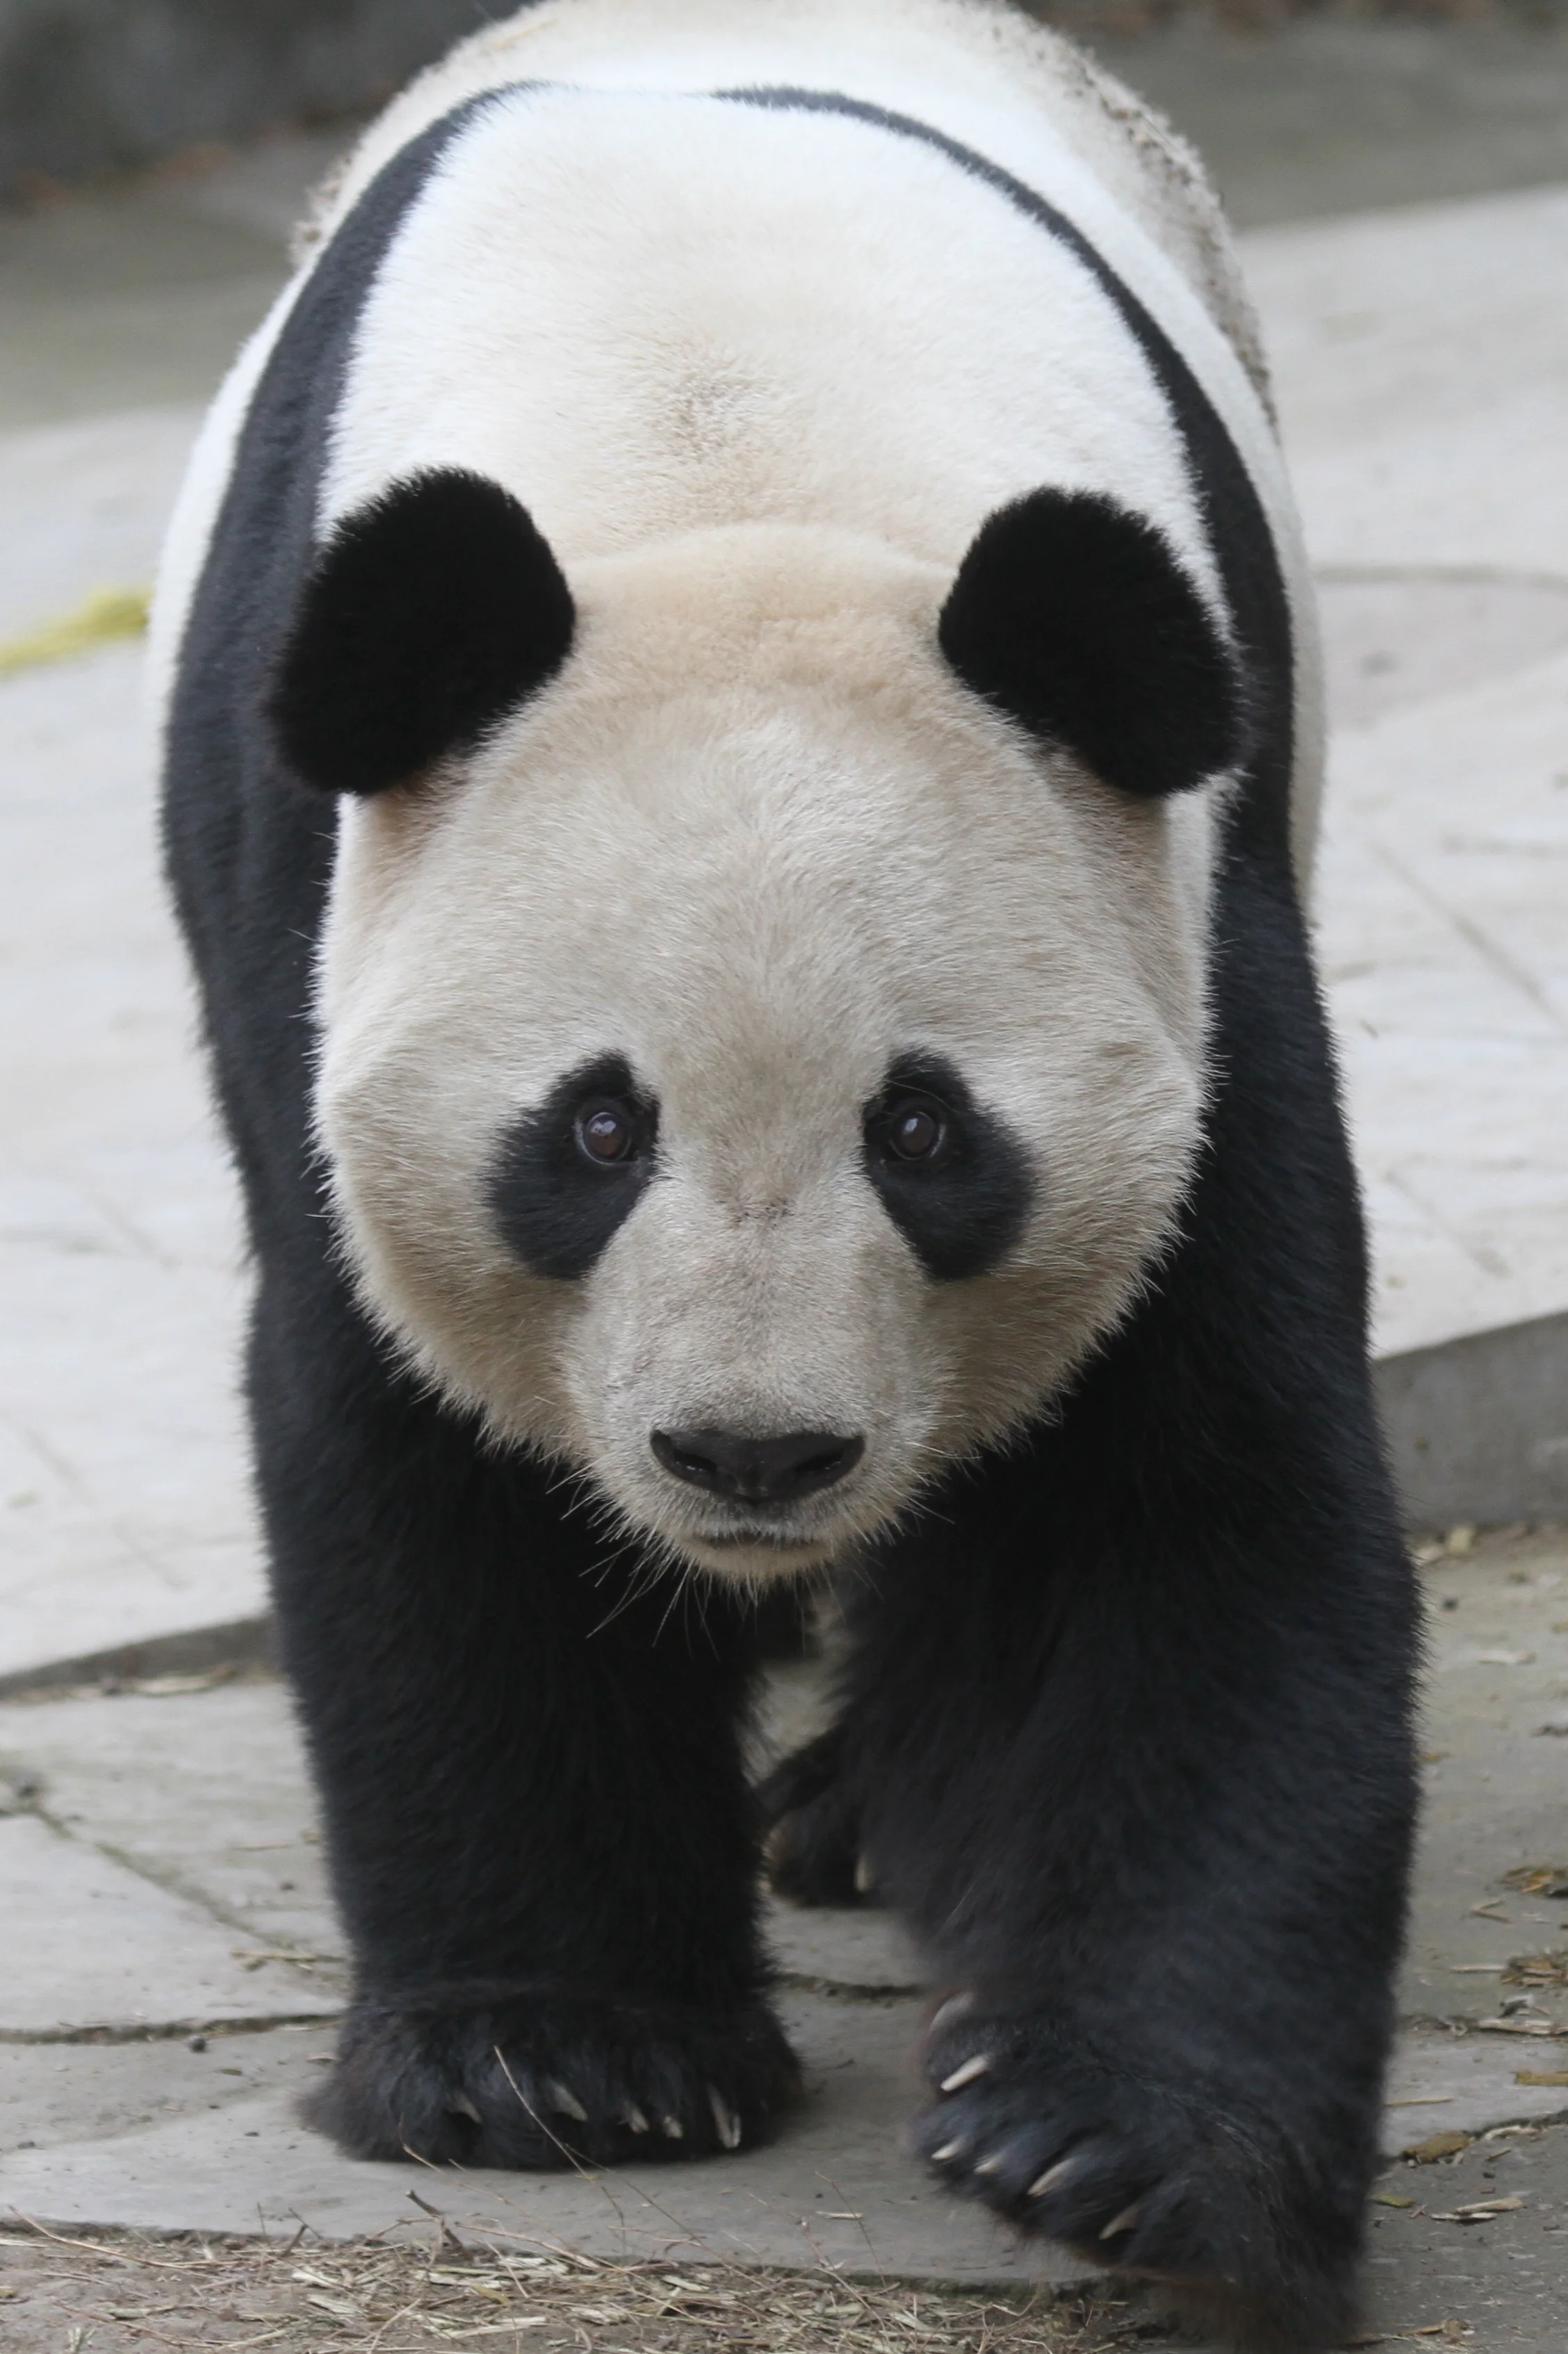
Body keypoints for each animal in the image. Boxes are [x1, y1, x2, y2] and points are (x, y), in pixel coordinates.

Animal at [152, 2, 1417, 2344]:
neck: (721, 454)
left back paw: (853, 1816)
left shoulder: (1176, 901)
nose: (753, 1455)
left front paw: (1110, 2143)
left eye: (923, 1131)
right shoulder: (322, 915)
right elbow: (425, 1470)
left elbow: (1177, 1495)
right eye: (592, 1127)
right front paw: (561, 2061)